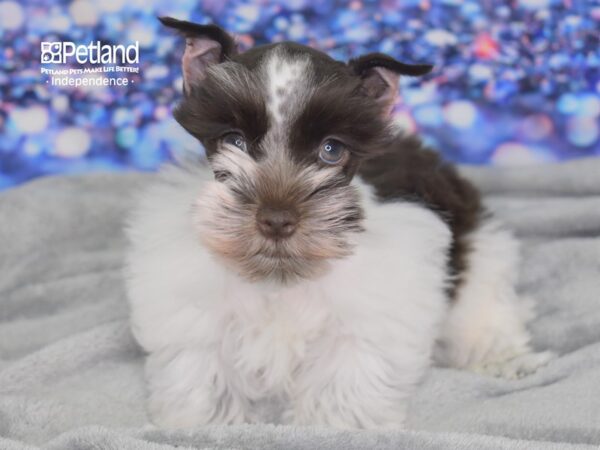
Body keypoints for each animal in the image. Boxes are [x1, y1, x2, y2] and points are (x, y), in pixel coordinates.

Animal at [126, 16, 552, 428]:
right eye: (234, 142)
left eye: (331, 150)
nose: (276, 220)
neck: (281, 277)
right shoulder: (196, 313)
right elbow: (204, 370)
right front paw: (203, 423)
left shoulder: (369, 317)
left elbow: (344, 376)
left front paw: (333, 425)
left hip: (481, 258)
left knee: (487, 311)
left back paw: (505, 359)